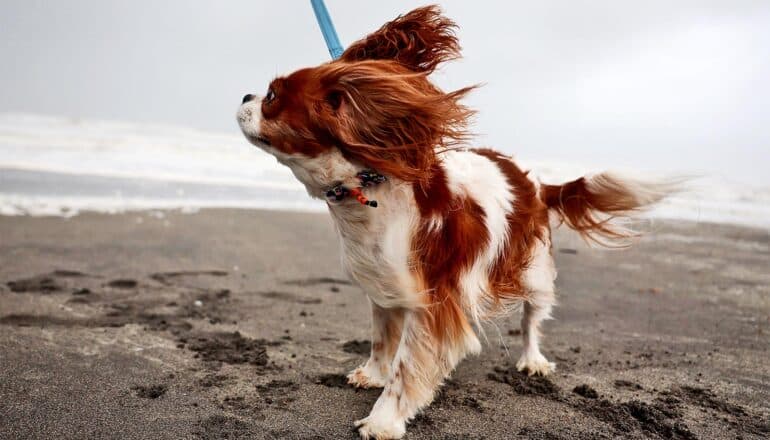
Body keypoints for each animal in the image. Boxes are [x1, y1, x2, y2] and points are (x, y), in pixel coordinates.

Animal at [236, 5, 672, 438]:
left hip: (533, 271)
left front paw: (382, 420)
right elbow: (381, 338)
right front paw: (373, 373)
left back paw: (532, 360)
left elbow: (406, 367)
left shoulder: (435, 303)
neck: (369, 187)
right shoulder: (385, 283)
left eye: (272, 97)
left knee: (532, 319)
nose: (244, 95)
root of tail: (532, 181)